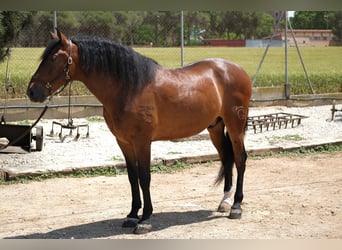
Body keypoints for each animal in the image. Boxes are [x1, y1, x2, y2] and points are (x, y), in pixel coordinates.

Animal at [26, 29, 251, 234]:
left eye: (54, 58)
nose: (32, 91)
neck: (129, 88)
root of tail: (238, 69)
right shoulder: (124, 141)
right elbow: (132, 177)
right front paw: (133, 215)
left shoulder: (142, 141)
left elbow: (144, 177)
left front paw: (146, 219)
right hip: (216, 127)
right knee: (227, 158)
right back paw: (224, 201)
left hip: (235, 126)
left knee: (240, 159)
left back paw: (236, 206)